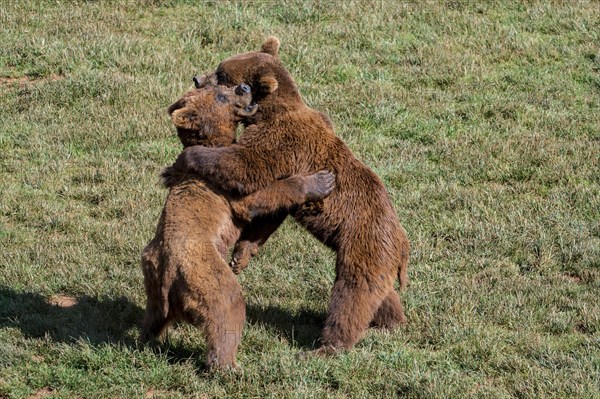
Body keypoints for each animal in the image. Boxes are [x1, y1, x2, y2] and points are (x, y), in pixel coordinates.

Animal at [142, 83, 338, 370]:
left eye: (220, 86)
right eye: (221, 95)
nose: (243, 87)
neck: (215, 142)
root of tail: (167, 274)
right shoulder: (225, 188)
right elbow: (261, 194)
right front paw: (321, 180)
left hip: (152, 279)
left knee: (152, 318)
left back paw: (147, 338)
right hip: (203, 273)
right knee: (228, 308)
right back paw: (229, 365)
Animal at [171, 37, 410, 356]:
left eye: (222, 75)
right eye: (220, 66)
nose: (197, 78)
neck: (266, 110)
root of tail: (403, 243)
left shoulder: (282, 139)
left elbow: (244, 165)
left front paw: (190, 156)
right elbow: (271, 210)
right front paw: (241, 256)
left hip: (364, 242)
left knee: (353, 294)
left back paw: (328, 345)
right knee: (380, 293)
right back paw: (391, 321)